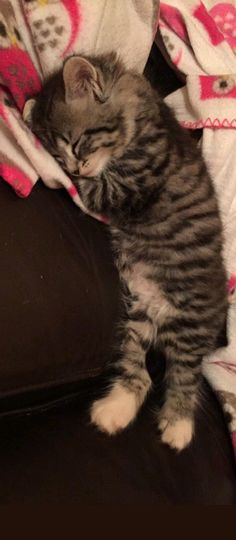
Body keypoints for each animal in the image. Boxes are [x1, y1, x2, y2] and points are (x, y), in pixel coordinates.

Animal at [24, 51, 229, 452]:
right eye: (61, 150)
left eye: (75, 144)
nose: (74, 166)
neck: (143, 116)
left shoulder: (122, 187)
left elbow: (90, 186)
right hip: (138, 311)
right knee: (141, 372)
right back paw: (114, 411)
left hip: (189, 322)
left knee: (186, 375)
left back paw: (177, 426)